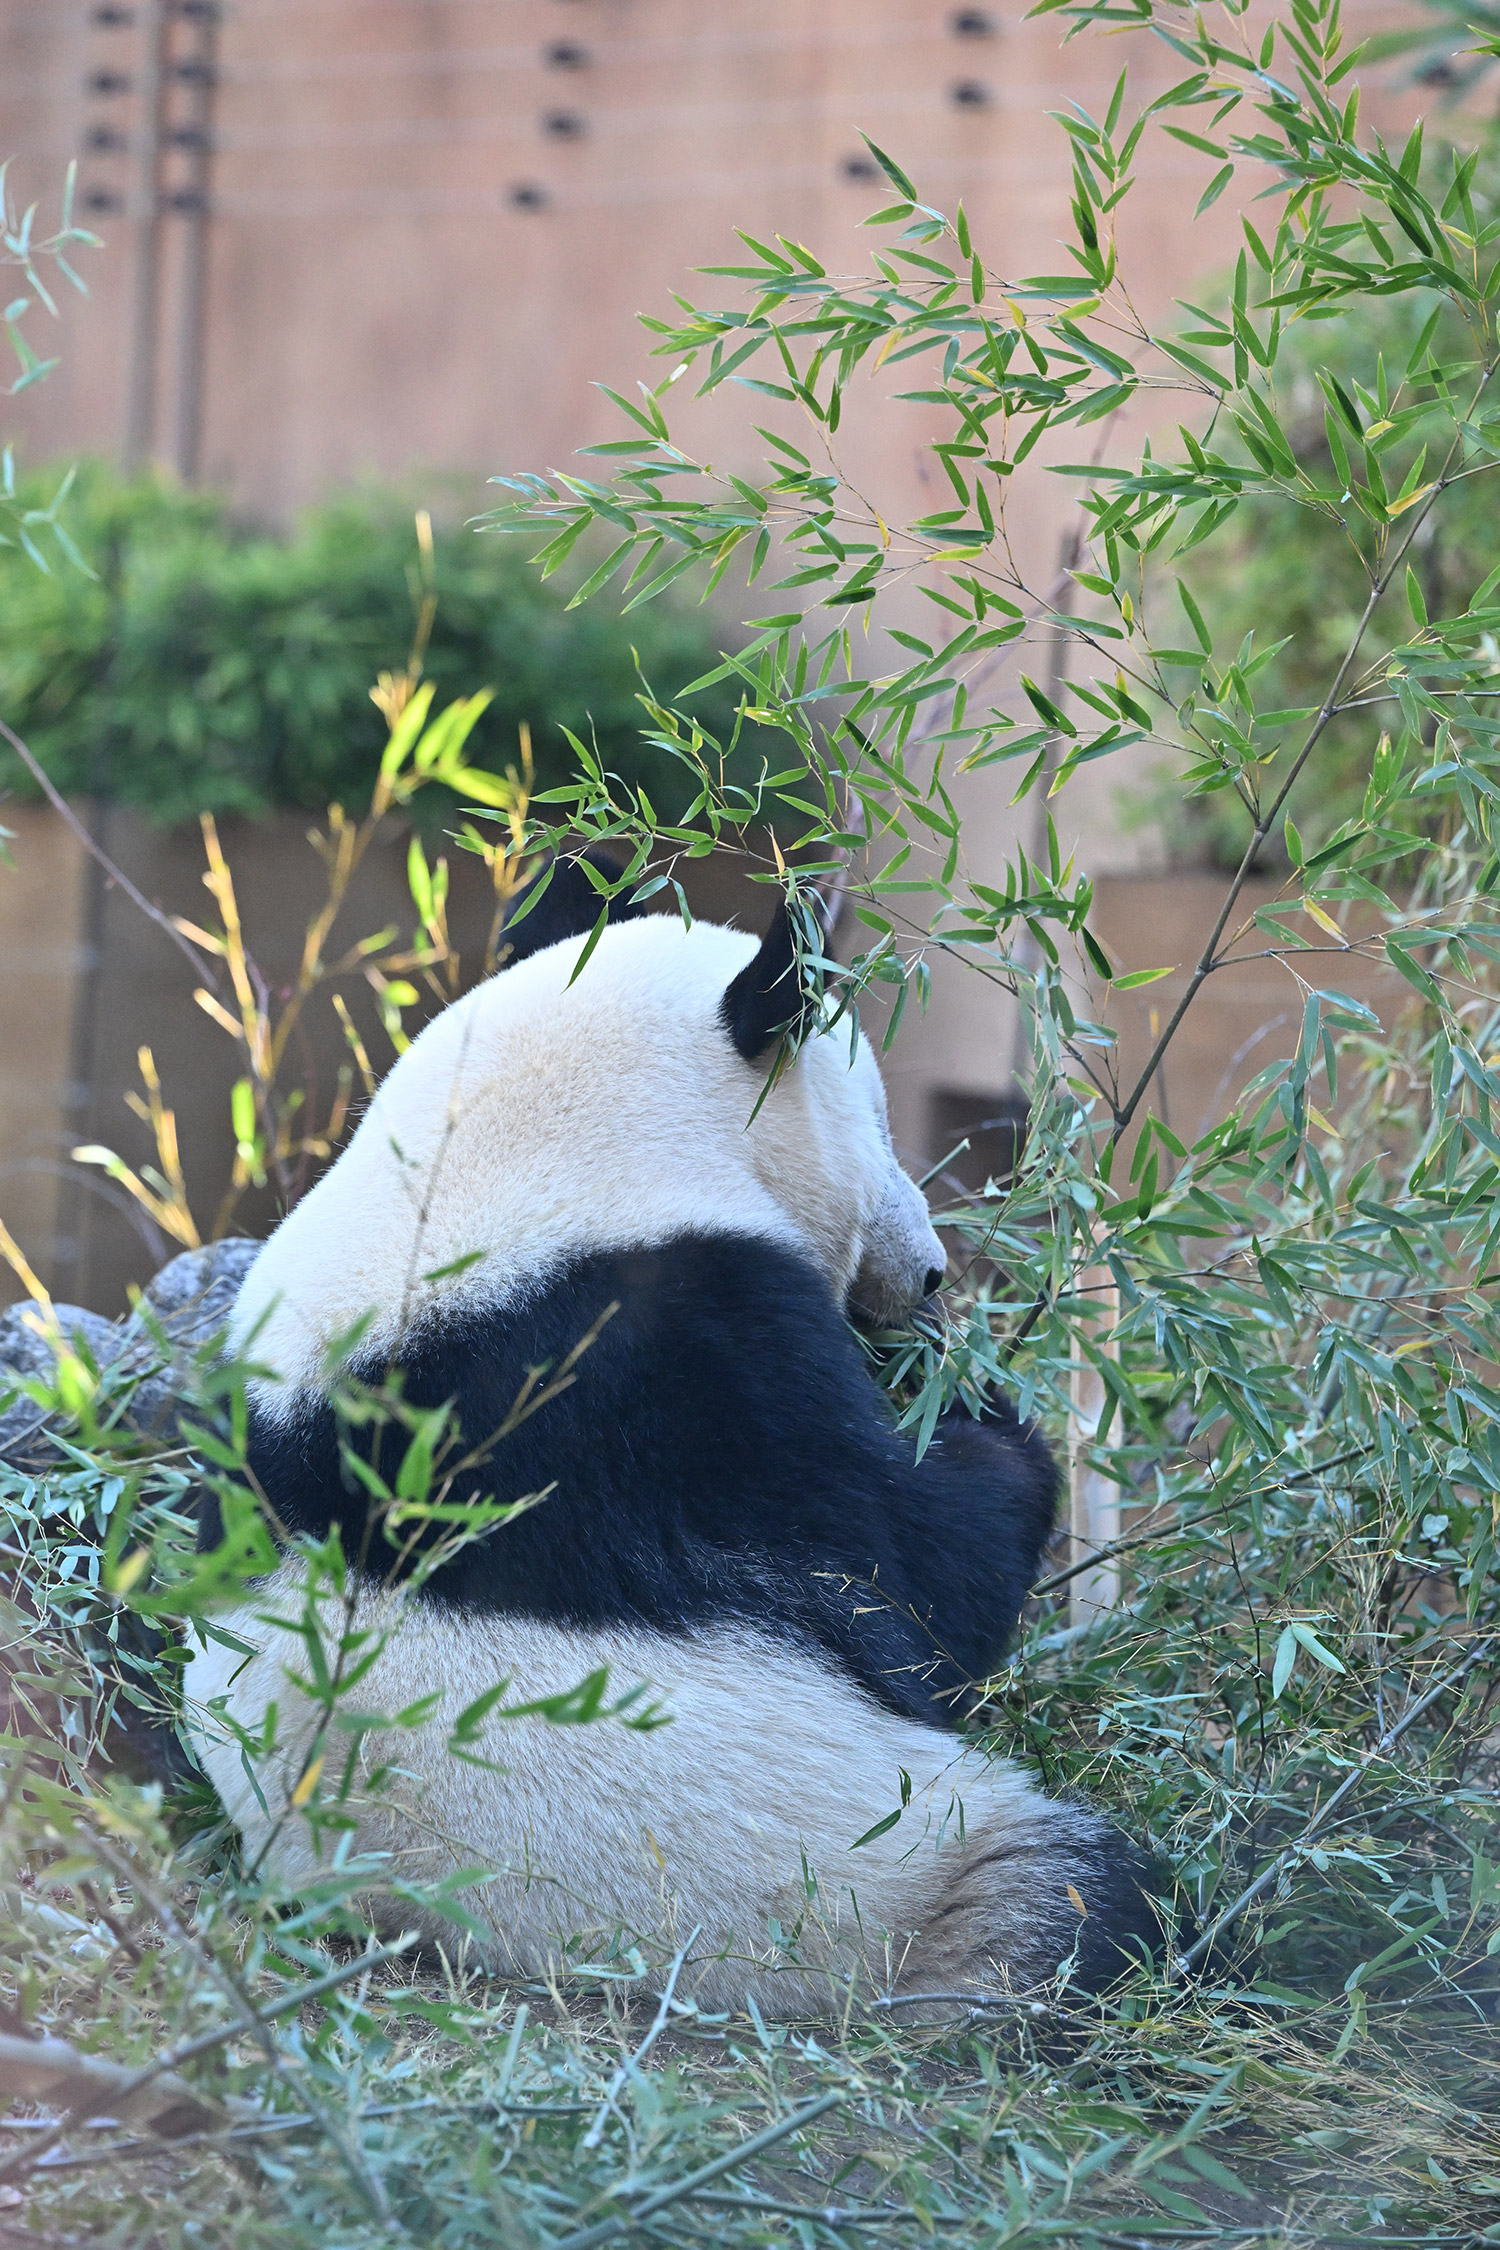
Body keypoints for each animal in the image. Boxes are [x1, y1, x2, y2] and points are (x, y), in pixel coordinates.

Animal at [184, 864, 1169, 2025]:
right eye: (880, 1127)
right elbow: (909, 1589)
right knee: (1074, 1905)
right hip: (843, 1879)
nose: (927, 1273)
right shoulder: (682, 1364)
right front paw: (976, 1414)